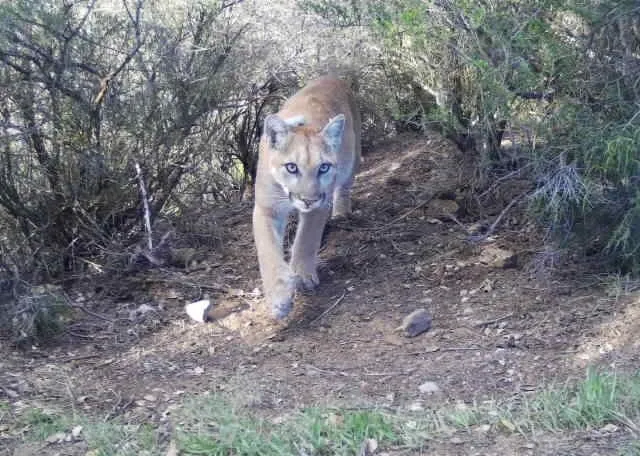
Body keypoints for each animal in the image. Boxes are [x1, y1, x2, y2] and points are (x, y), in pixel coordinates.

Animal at [252, 75, 361, 319]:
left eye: (324, 167)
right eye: (291, 167)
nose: (308, 200)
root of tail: (332, 76)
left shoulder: (321, 203)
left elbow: (306, 238)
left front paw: (302, 275)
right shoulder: (266, 207)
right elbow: (267, 250)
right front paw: (279, 297)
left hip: (353, 158)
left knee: (344, 186)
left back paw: (341, 213)